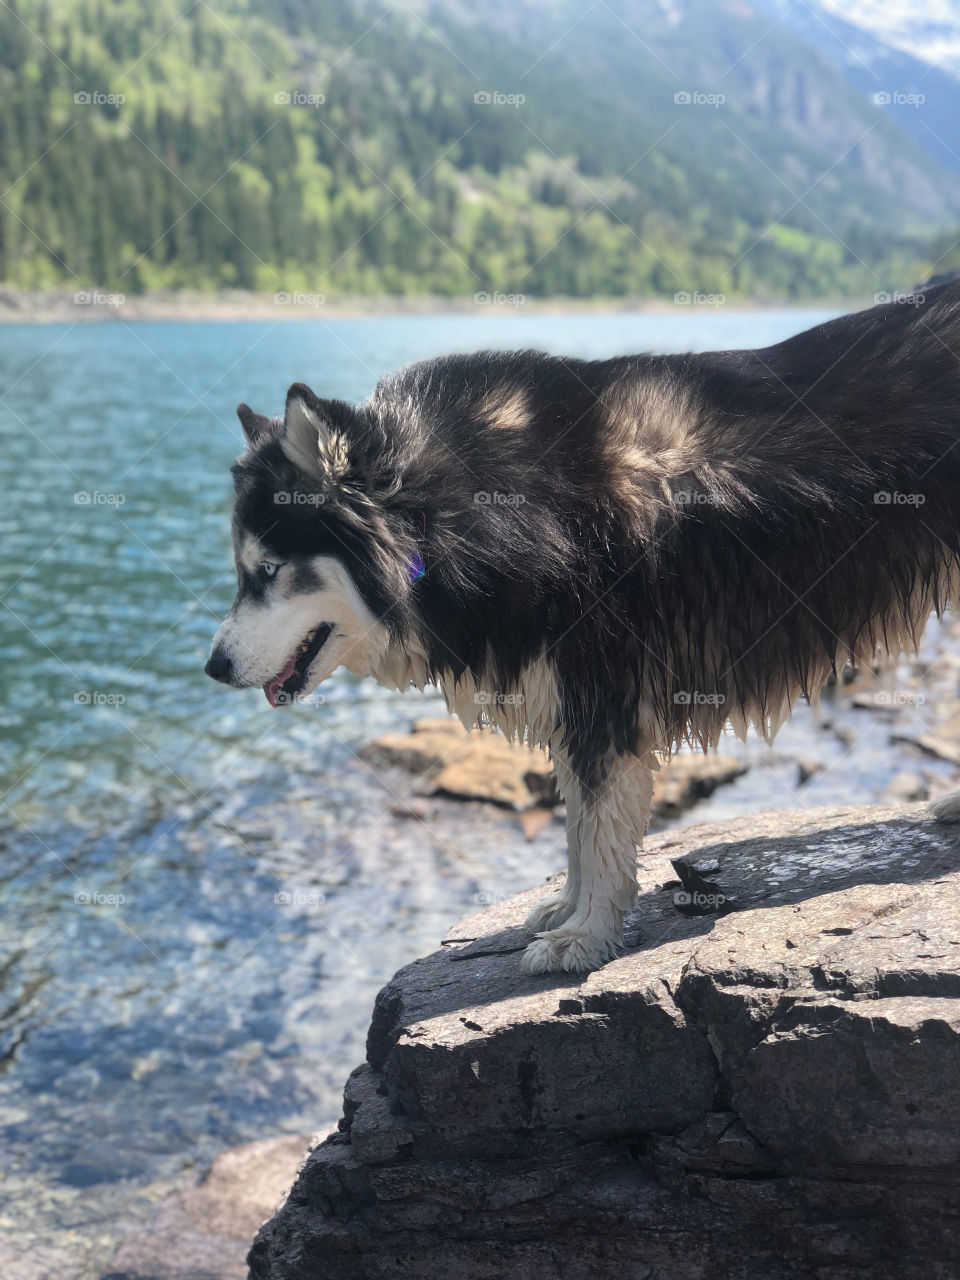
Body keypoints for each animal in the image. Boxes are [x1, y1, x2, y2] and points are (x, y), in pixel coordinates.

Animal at [209, 285, 960, 972]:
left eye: (268, 570)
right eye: (243, 570)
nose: (214, 668)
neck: (456, 511)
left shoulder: (604, 690)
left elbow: (598, 828)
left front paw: (588, 934)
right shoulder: (568, 692)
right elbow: (576, 824)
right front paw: (569, 909)